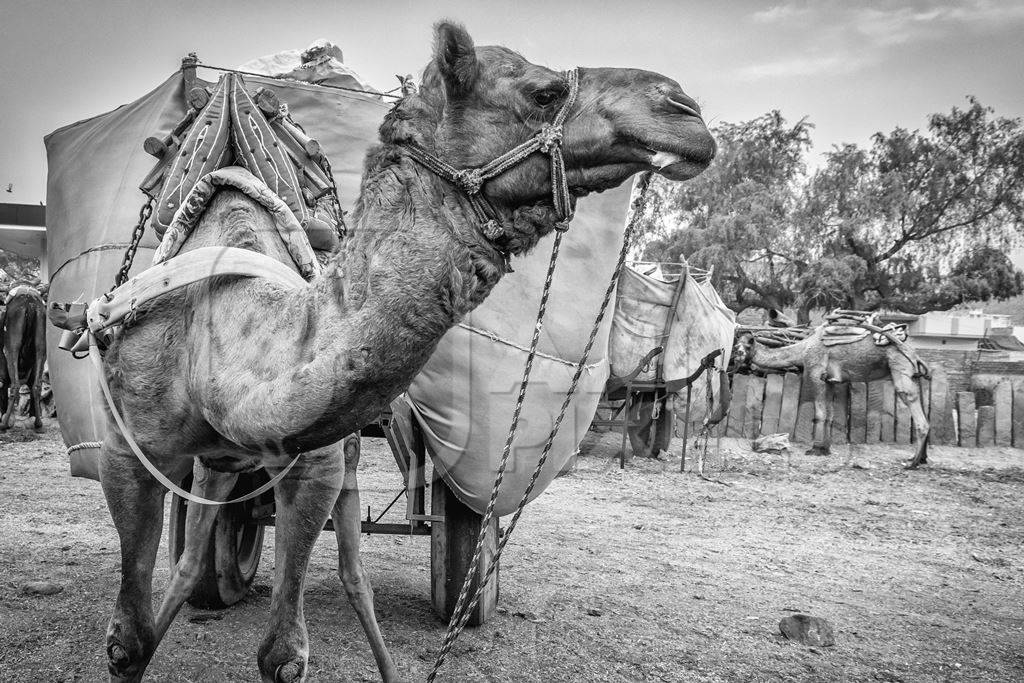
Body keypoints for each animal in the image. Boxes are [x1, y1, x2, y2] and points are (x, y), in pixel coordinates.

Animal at [1, 286, 46, 430]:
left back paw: (4, 424)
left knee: (14, 385)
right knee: (36, 386)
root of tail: (29, 302)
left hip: (11, 348)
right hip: (41, 348)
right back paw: (38, 424)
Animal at [99, 22, 716, 683]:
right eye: (545, 93)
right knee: (198, 555)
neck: (220, 321)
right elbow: (129, 640)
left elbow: (285, 653)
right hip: (222, 459)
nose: (685, 109)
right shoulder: (127, 451)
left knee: (353, 563)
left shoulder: (316, 462)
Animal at [733, 317, 933, 466]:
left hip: (899, 365)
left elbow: (820, 413)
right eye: (737, 345)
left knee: (911, 400)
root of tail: (912, 350)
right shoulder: (830, 381)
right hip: (913, 373)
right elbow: (829, 414)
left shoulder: (816, 373)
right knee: (921, 399)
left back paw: (912, 463)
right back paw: (921, 458)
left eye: (748, 345)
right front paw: (825, 449)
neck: (803, 349)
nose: (737, 356)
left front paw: (814, 449)